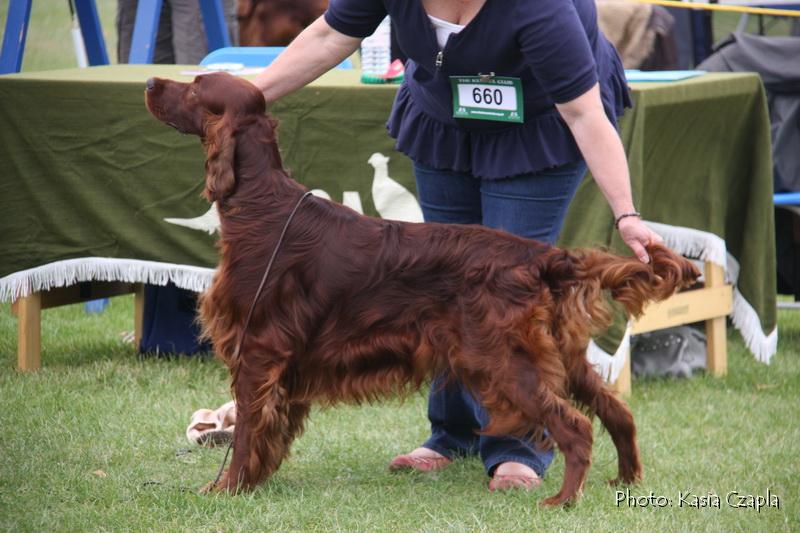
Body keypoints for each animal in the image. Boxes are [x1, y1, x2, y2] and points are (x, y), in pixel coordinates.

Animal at [144, 72, 700, 504]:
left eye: (194, 88)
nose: (150, 82)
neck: (261, 205)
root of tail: (540, 257)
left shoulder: (258, 349)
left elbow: (245, 433)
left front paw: (226, 489)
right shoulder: (281, 363)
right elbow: (266, 433)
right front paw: (254, 482)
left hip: (504, 362)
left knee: (576, 427)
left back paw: (562, 500)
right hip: (559, 355)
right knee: (618, 412)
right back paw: (626, 481)